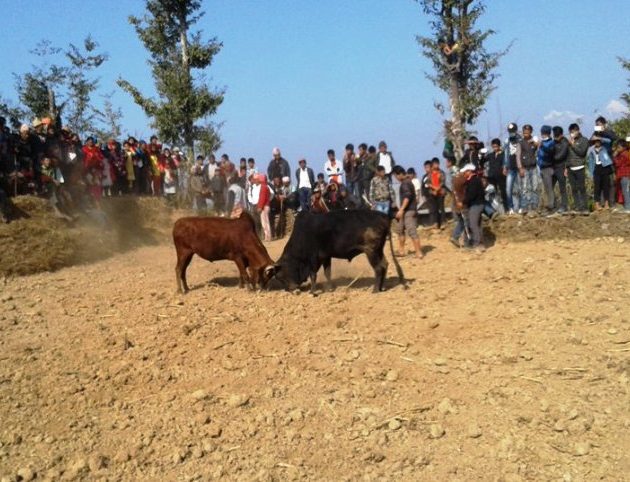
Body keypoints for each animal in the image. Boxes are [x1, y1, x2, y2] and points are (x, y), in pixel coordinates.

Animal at [274, 211, 408, 294]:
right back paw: (381, 287)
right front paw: (329, 288)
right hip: (378, 250)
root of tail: (384, 215)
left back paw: (375, 290)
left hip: (371, 251)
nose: (290, 290)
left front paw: (313, 292)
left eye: (280, 276)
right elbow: (327, 273)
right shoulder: (326, 257)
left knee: (379, 268)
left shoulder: (313, 259)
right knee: (384, 265)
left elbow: (313, 275)